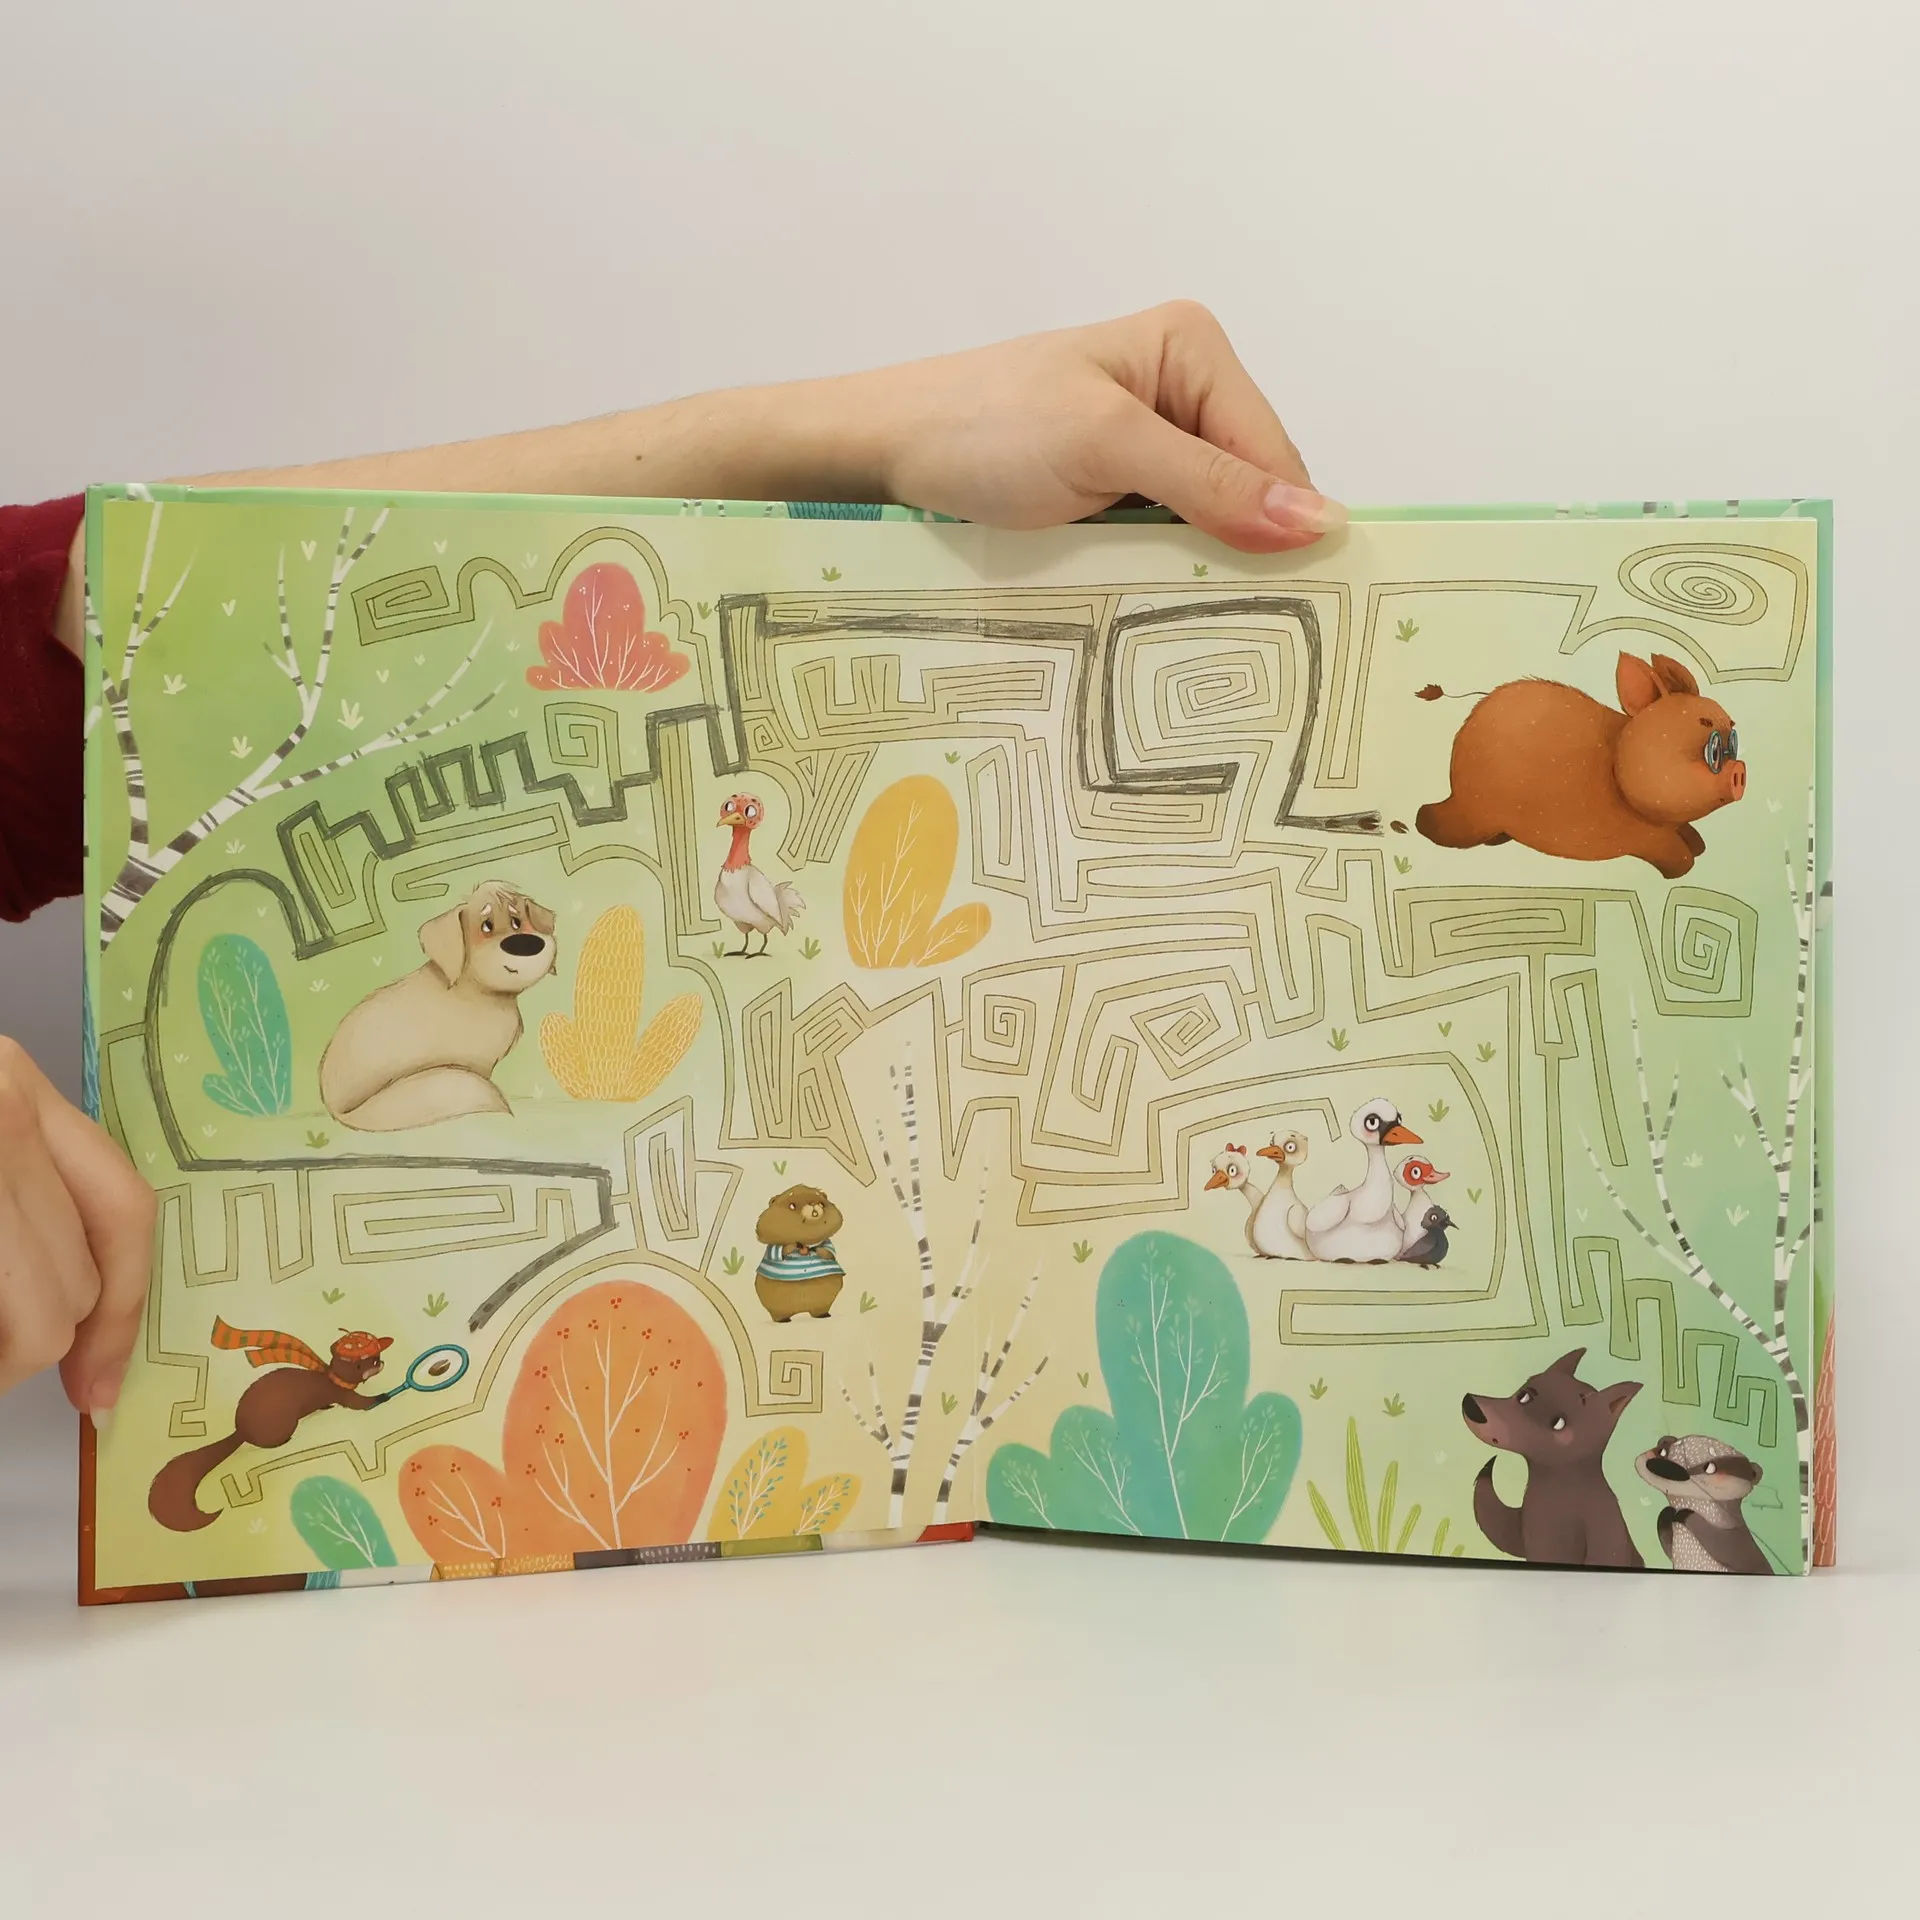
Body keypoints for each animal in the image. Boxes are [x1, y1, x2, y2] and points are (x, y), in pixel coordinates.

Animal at [319, 882, 557, 1131]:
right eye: (486, 926)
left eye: (516, 921)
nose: (527, 944)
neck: (476, 994)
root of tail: (337, 1110)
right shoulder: (475, 1063)